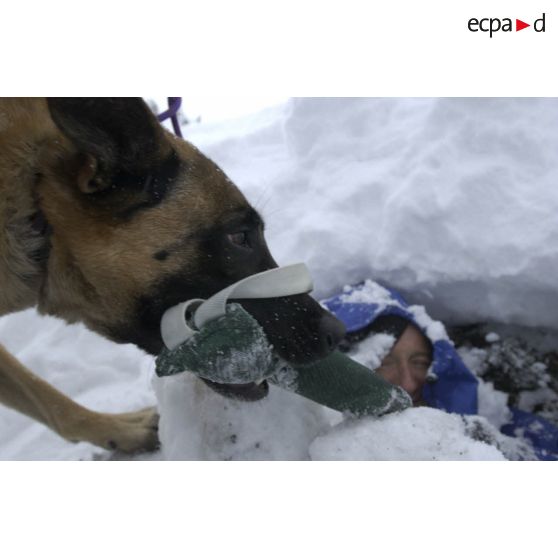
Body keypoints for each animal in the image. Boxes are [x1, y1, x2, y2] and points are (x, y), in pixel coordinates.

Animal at [0, 96, 346, 456]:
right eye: (239, 236)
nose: (338, 332)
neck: (35, 203)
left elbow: (45, 399)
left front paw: (119, 430)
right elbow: (44, 396)